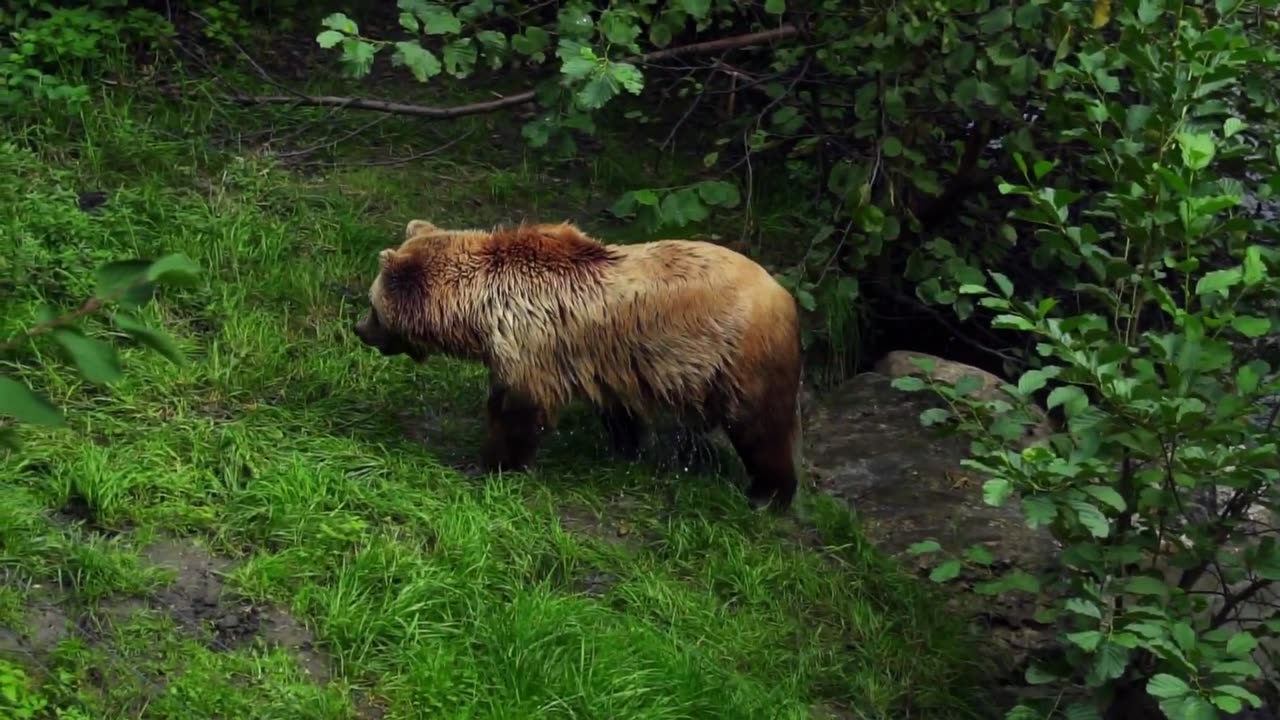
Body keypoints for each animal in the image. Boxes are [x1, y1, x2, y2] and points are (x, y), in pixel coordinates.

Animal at [353, 215, 798, 507]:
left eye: (374, 306)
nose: (359, 330)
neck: (478, 310)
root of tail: (783, 293)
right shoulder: (606, 361)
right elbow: (619, 411)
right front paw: (626, 448)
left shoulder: (529, 348)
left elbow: (515, 411)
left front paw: (491, 464)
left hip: (736, 355)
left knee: (760, 426)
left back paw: (768, 493)